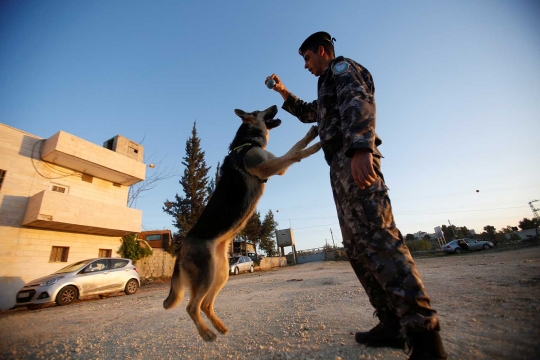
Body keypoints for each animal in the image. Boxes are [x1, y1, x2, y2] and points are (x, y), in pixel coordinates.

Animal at [161, 104, 320, 340]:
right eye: (258, 111)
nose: (276, 105)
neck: (246, 144)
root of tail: (181, 250)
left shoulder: (274, 163)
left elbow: (296, 146)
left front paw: (312, 134)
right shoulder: (269, 167)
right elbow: (296, 153)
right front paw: (317, 146)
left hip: (221, 273)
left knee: (205, 304)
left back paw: (219, 327)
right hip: (206, 275)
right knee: (192, 307)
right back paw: (207, 334)